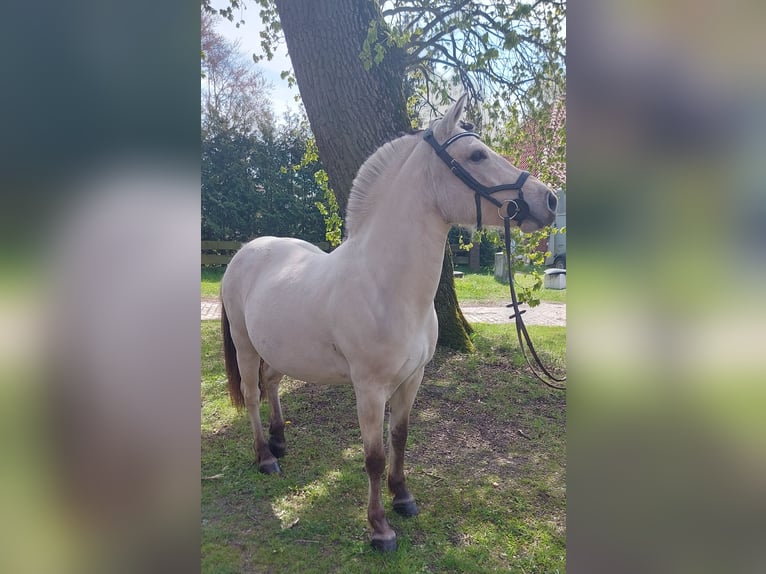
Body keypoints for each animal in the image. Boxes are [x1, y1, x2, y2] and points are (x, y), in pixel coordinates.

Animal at [220, 94, 558, 552]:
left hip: (276, 348)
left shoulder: (412, 379)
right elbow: (374, 457)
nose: (550, 200)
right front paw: (379, 528)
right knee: (252, 395)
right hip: (245, 344)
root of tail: (246, 251)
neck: (386, 286)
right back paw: (266, 457)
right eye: (476, 155)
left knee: (271, 383)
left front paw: (404, 498)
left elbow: (400, 437)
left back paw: (279, 440)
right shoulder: (369, 388)